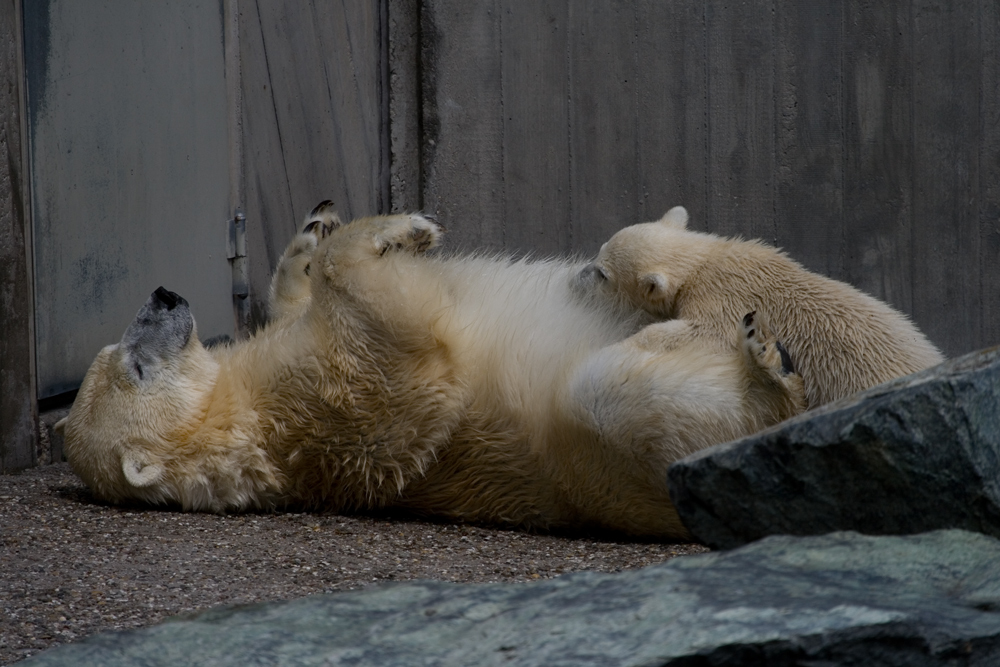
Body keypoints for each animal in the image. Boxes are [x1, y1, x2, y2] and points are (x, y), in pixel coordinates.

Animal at [56, 206, 804, 540]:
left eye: (116, 350)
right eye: (135, 365)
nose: (162, 296)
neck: (238, 410)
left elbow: (303, 302)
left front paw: (312, 235)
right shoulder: (316, 416)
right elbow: (407, 368)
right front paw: (405, 229)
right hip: (597, 453)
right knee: (607, 394)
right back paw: (768, 368)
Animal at [584, 207, 940, 408]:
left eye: (602, 273)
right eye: (598, 251)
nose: (580, 273)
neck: (704, 262)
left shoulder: (724, 297)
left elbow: (704, 335)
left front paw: (626, 342)